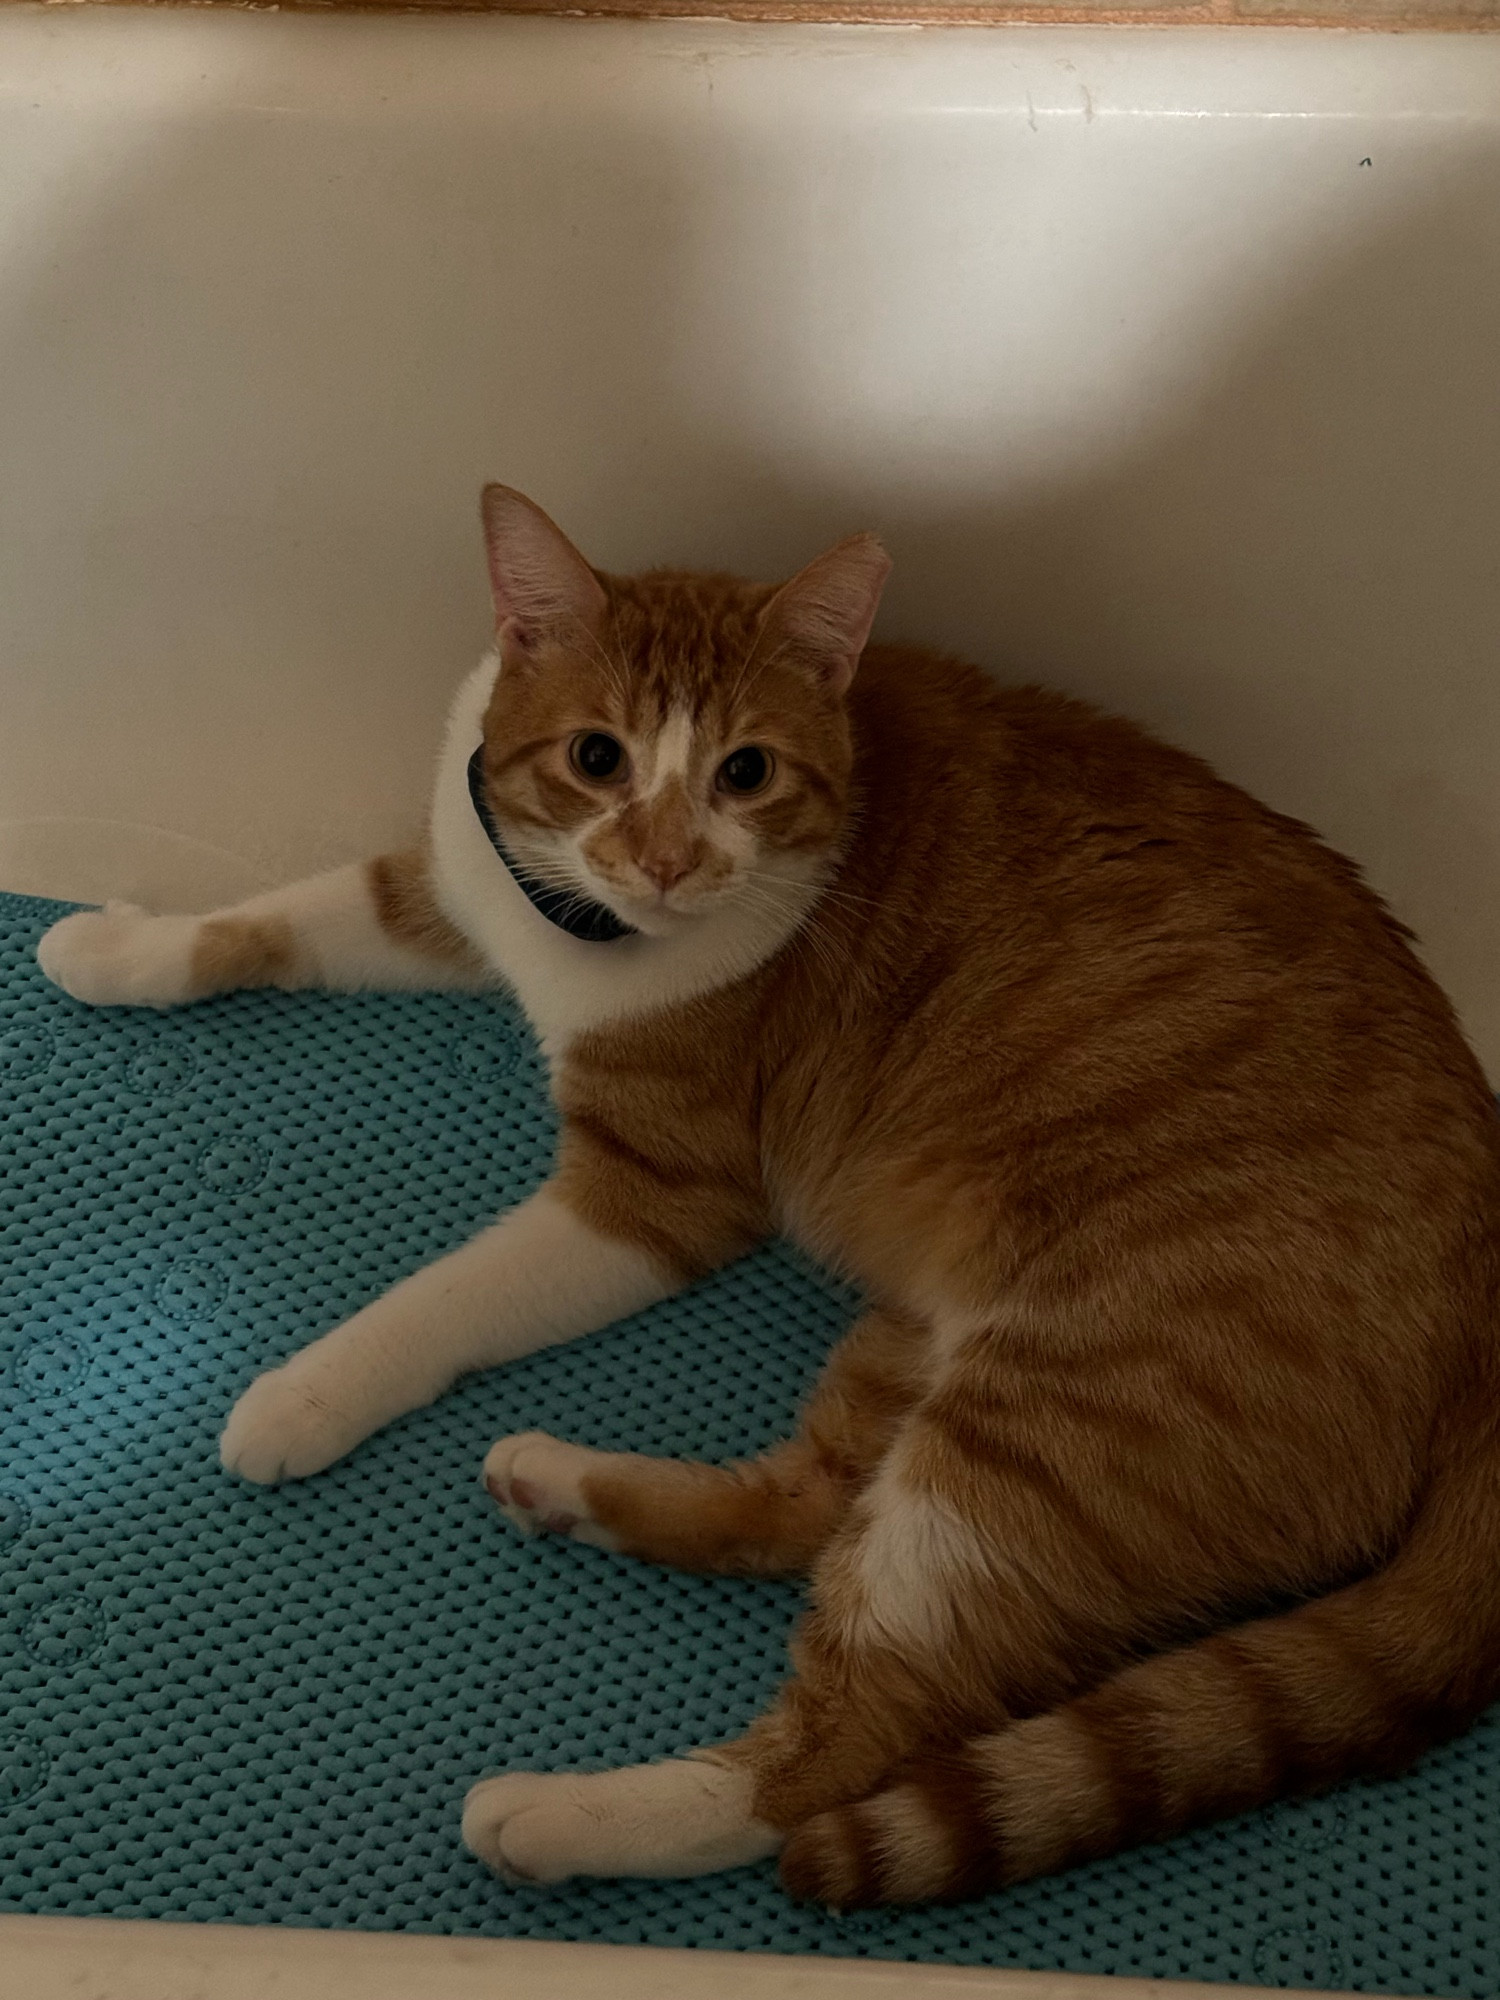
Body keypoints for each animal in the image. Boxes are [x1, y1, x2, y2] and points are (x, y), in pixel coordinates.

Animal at [41, 484, 1500, 1904]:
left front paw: (301, 1395)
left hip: (1049, 1420)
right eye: (597, 758)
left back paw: (568, 1814)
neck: (578, 936)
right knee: (803, 1511)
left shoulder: (655, 1198)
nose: (667, 861)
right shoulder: (451, 888)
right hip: (919, 1334)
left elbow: (434, 1298)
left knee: (840, 1744)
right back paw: (562, 1484)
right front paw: (117, 949)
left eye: (744, 772)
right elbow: (276, 915)